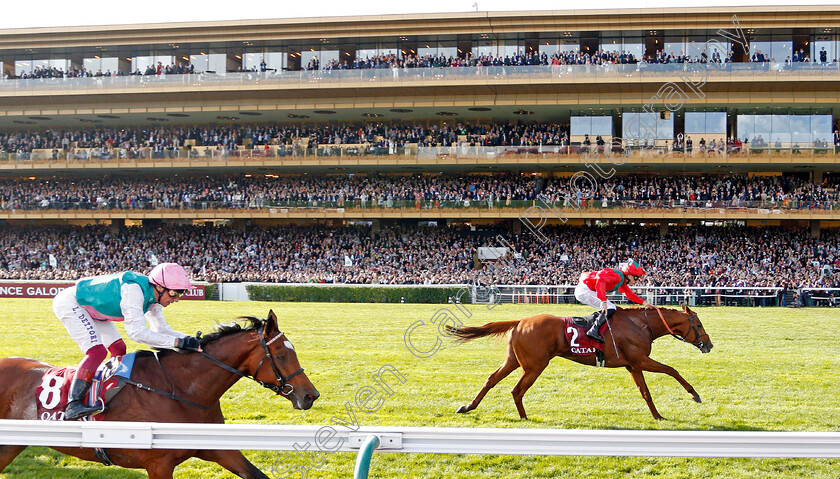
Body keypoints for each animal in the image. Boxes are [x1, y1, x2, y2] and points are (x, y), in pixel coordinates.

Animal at [0, 310, 318, 478]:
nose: (310, 395)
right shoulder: (158, 463)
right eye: (281, 355)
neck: (182, 390)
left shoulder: (219, 448)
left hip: (12, 445)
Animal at [450, 308, 712, 420]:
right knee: (516, 390)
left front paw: (657, 416)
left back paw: (468, 406)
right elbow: (672, 370)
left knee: (491, 380)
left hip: (514, 360)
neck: (641, 324)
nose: (708, 344)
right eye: (699, 325)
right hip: (535, 365)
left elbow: (645, 392)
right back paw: (524, 418)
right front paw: (695, 394)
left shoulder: (633, 365)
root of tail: (520, 320)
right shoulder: (640, 360)